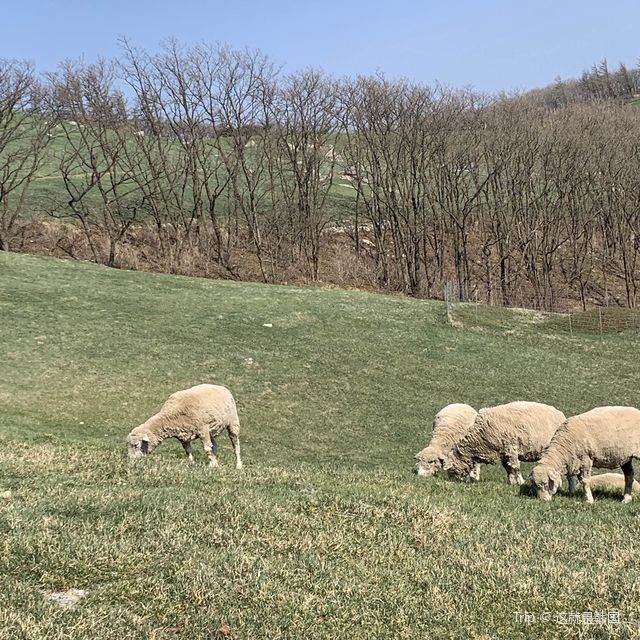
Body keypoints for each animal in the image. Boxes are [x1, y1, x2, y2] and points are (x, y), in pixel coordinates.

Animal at [444, 402, 576, 488]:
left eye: (451, 468)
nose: (452, 481)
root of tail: (560, 414)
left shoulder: (511, 447)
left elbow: (515, 467)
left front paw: (520, 482)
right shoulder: (504, 453)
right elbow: (508, 469)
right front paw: (511, 482)